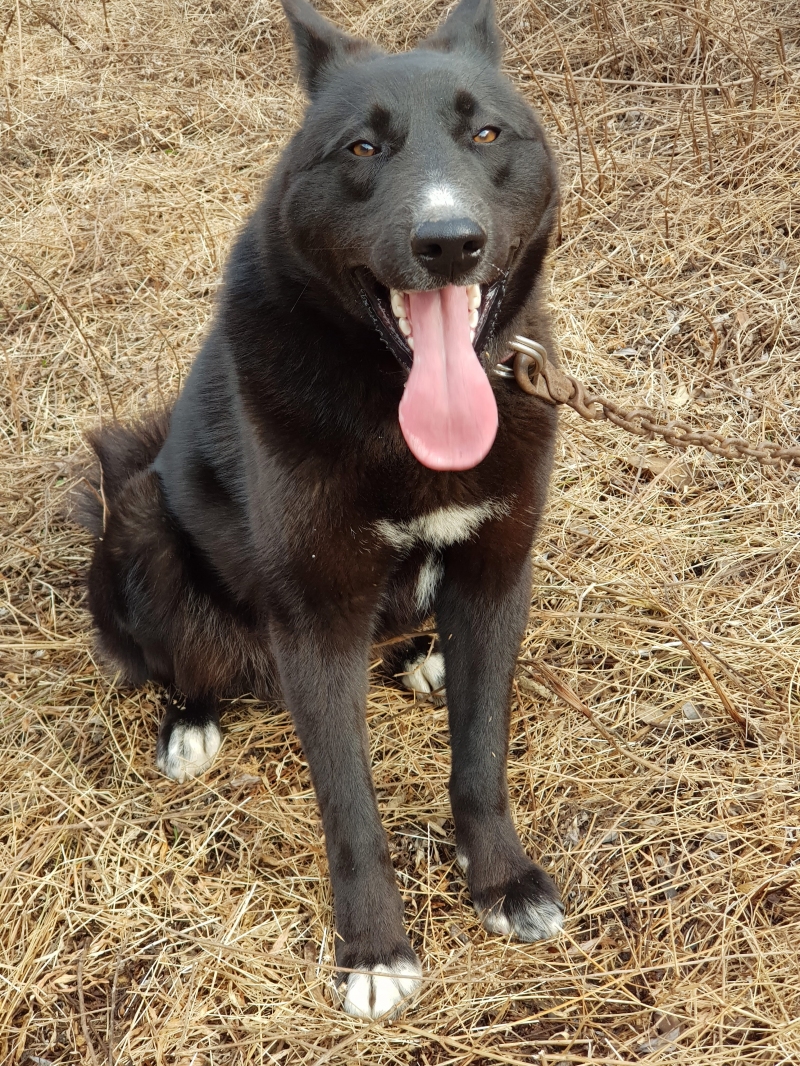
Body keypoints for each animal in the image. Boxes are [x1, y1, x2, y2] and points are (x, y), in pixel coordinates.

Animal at [79, 0, 563, 1019]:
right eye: (363, 148)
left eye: (487, 135)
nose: (448, 242)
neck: (395, 412)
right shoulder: (316, 620)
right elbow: (349, 806)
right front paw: (374, 950)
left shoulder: (497, 572)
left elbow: (481, 757)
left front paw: (503, 882)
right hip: (140, 522)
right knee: (180, 659)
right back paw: (190, 723)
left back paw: (423, 656)